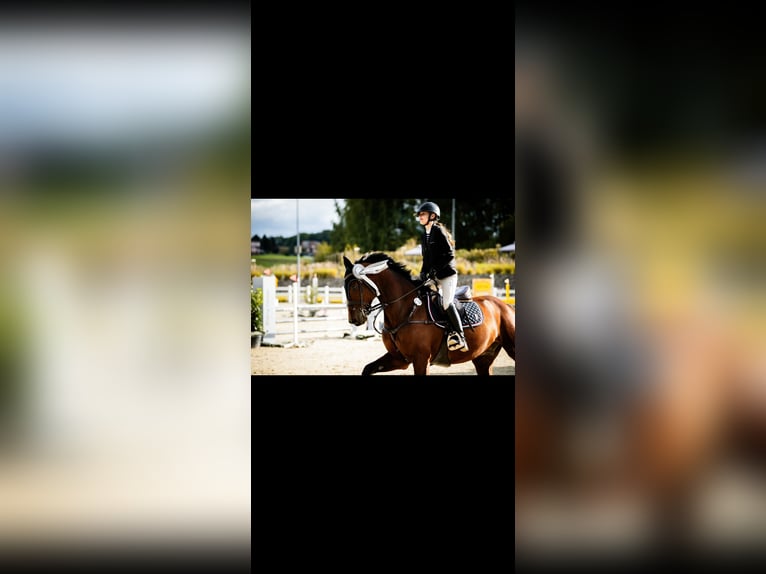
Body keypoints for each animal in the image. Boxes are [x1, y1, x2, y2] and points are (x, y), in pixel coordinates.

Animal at [342, 252, 515, 376]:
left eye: (354, 286)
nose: (354, 320)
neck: (406, 311)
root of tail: (506, 306)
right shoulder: (399, 359)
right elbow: (367, 369)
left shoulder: (421, 360)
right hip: (483, 358)